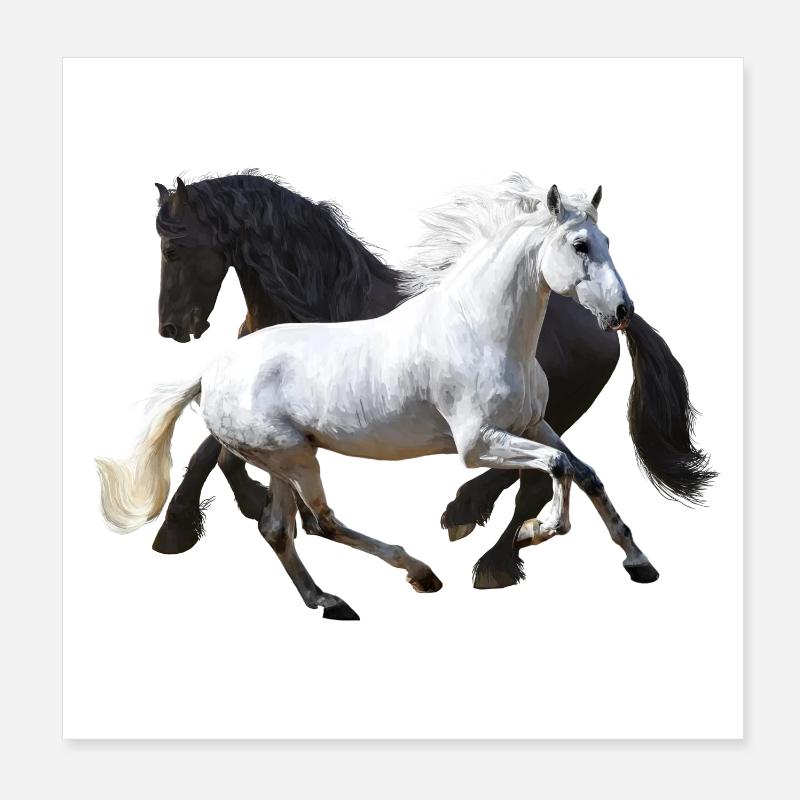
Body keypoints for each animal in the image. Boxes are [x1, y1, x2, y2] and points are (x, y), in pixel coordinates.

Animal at [97, 180, 711, 620]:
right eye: (581, 245)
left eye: (607, 243)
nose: (621, 312)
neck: (482, 329)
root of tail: (209, 374)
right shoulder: (477, 444)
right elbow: (559, 471)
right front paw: (538, 535)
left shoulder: (533, 425)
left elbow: (584, 473)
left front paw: (639, 562)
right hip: (294, 456)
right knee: (316, 522)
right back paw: (421, 573)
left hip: (285, 458)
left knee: (280, 527)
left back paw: (333, 599)